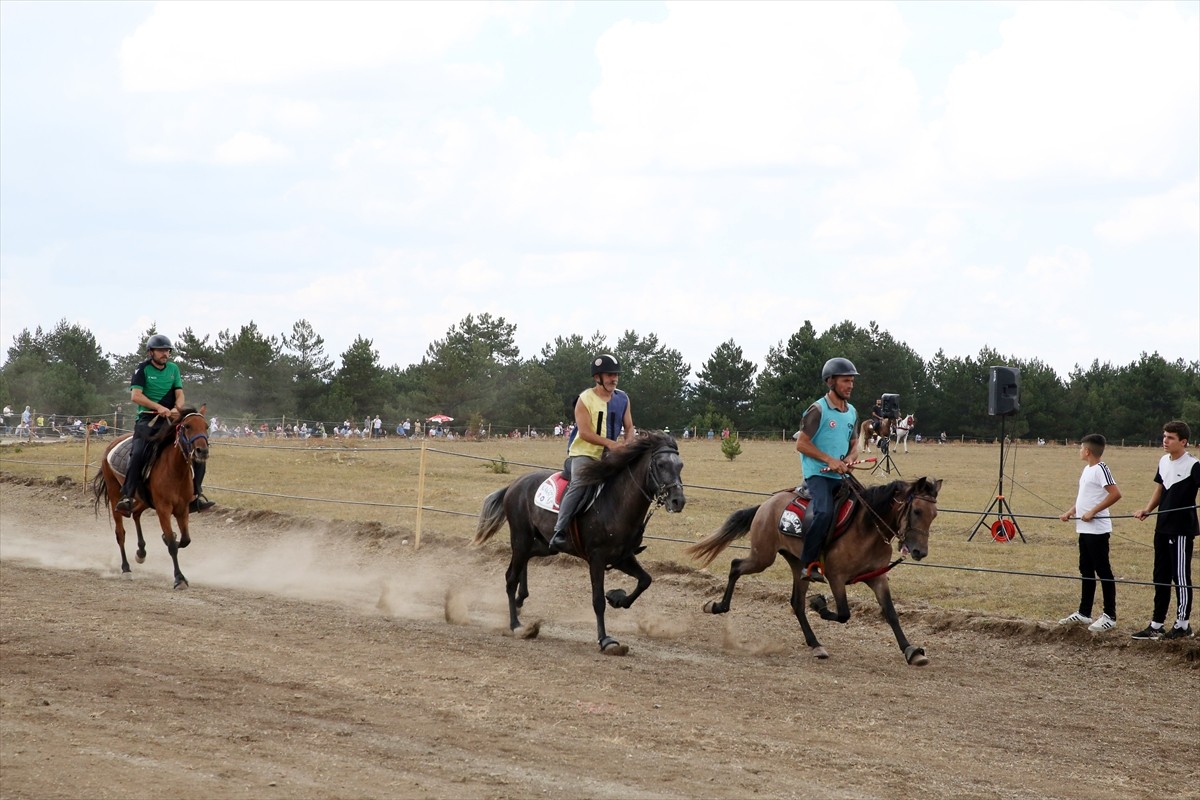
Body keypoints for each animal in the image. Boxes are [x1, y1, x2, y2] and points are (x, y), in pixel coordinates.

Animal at [92, 410, 210, 592]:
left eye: (206, 426)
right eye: (187, 426)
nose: (202, 451)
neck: (175, 470)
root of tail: (111, 444)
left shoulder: (182, 508)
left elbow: (184, 540)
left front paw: (169, 537)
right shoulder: (163, 509)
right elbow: (172, 545)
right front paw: (179, 578)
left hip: (144, 499)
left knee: (135, 514)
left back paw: (141, 552)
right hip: (114, 494)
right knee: (120, 533)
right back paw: (126, 569)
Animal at [475, 434, 691, 652]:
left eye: (680, 465)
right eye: (661, 464)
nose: (678, 501)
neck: (617, 503)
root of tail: (514, 484)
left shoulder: (623, 557)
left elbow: (645, 580)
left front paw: (617, 598)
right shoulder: (597, 558)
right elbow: (598, 601)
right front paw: (605, 639)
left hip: (543, 545)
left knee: (524, 561)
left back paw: (521, 600)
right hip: (521, 538)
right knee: (510, 578)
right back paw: (516, 625)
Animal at [686, 474, 936, 662]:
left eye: (934, 514)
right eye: (916, 511)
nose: (920, 552)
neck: (866, 528)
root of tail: (766, 504)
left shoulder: (877, 578)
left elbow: (891, 613)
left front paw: (911, 650)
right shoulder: (836, 577)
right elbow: (844, 613)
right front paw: (819, 604)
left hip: (798, 565)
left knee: (796, 603)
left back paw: (815, 644)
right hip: (762, 557)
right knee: (736, 566)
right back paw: (717, 606)